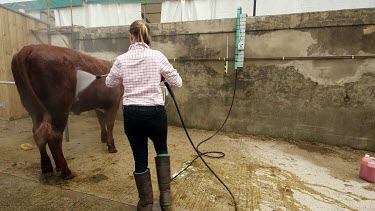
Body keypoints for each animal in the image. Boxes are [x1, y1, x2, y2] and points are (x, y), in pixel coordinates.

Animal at [10, 43, 123, 179]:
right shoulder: (115, 101)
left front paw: (104, 138)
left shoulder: (98, 105)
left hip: (33, 107)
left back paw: (47, 167)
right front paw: (111, 146)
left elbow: (101, 121)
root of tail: (28, 49)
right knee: (53, 136)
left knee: (38, 133)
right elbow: (110, 123)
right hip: (59, 108)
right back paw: (65, 171)